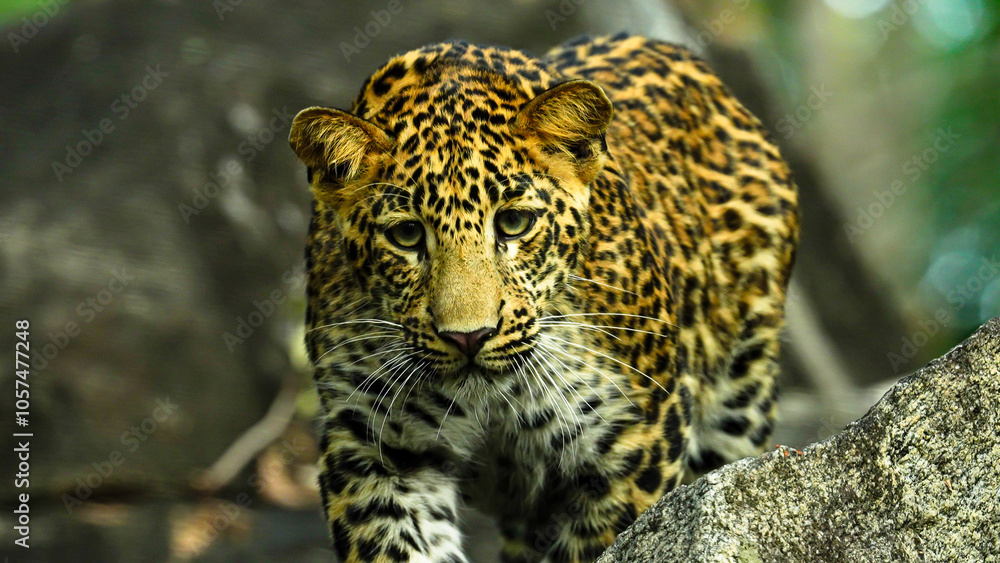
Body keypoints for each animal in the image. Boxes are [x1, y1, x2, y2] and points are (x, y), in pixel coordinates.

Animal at [288, 33, 798, 563]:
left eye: (514, 223)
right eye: (407, 235)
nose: (469, 338)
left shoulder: (636, 436)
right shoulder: (373, 446)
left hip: (741, 399)